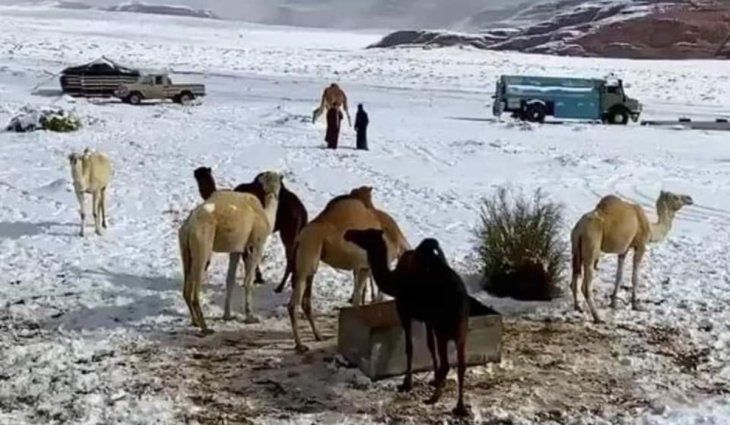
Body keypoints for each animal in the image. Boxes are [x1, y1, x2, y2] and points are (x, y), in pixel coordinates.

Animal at [178, 170, 280, 332]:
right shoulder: (256, 245)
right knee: (195, 288)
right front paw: (250, 317)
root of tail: (189, 226)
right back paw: (205, 328)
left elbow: (230, 280)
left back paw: (195, 322)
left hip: (185, 248)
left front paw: (227, 315)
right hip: (202, 244)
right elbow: (248, 281)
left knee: (186, 287)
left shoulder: (236, 249)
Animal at [288, 186, 406, 352]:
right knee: (294, 304)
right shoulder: (368, 266)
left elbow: (358, 299)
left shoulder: (363, 267)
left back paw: (318, 336)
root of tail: (299, 239)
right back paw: (300, 345)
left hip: (309, 265)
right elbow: (366, 298)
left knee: (305, 302)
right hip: (308, 259)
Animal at [342, 227, 470, 416]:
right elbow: (429, 346)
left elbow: (409, 347)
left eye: (365, 233)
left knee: (448, 364)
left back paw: (434, 398)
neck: (394, 281)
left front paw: (406, 383)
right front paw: (434, 379)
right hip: (461, 329)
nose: (348, 233)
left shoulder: (404, 311)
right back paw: (459, 406)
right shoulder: (427, 319)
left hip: (444, 328)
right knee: (461, 364)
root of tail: (461, 301)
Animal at [568, 191, 688, 322]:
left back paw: (577, 307)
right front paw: (636, 305)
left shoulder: (623, 250)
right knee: (586, 284)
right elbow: (635, 277)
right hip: (591, 245)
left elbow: (619, 276)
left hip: (575, 248)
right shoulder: (641, 245)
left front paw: (613, 303)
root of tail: (579, 228)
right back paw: (597, 317)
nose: (689, 199)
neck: (651, 229)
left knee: (575, 276)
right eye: (676, 197)